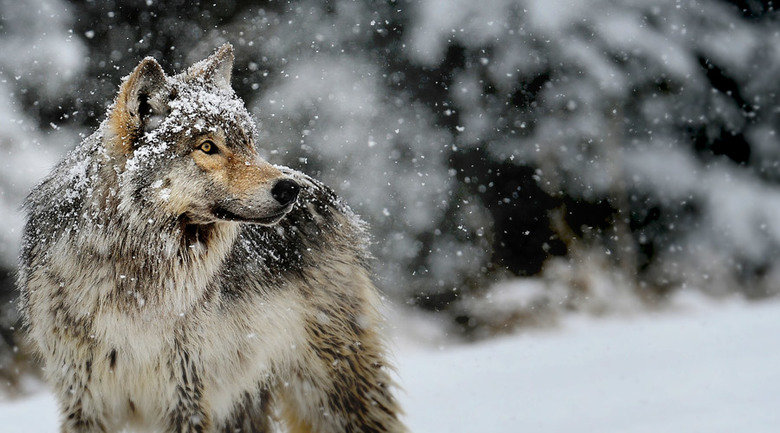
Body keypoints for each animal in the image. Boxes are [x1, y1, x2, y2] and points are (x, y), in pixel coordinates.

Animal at [17, 44, 405, 433]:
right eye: (207, 147)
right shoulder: (84, 401)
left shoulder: (186, 395)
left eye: (247, 141)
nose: (288, 189)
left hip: (330, 389)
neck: (134, 272)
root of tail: (323, 190)